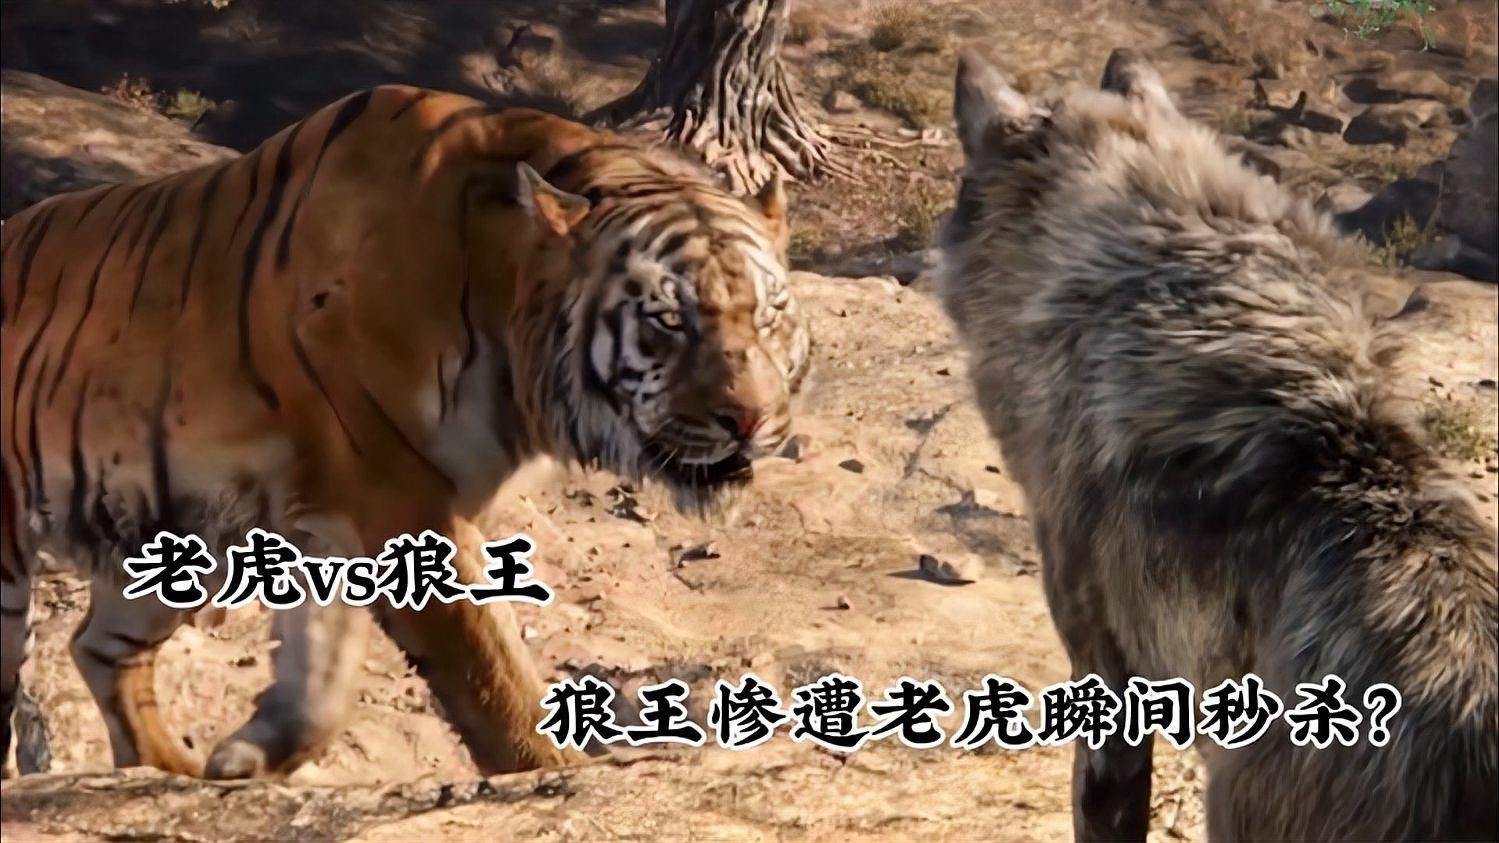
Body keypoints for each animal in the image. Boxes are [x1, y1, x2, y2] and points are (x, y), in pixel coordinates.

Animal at [0, 86, 810, 780]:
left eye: (770, 314)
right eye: (668, 320)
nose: (751, 420)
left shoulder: (328, 518)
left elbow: (323, 677)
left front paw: (249, 756)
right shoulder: (395, 497)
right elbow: (492, 674)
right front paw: (551, 774)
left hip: (172, 539)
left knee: (99, 647)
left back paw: (166, 769)